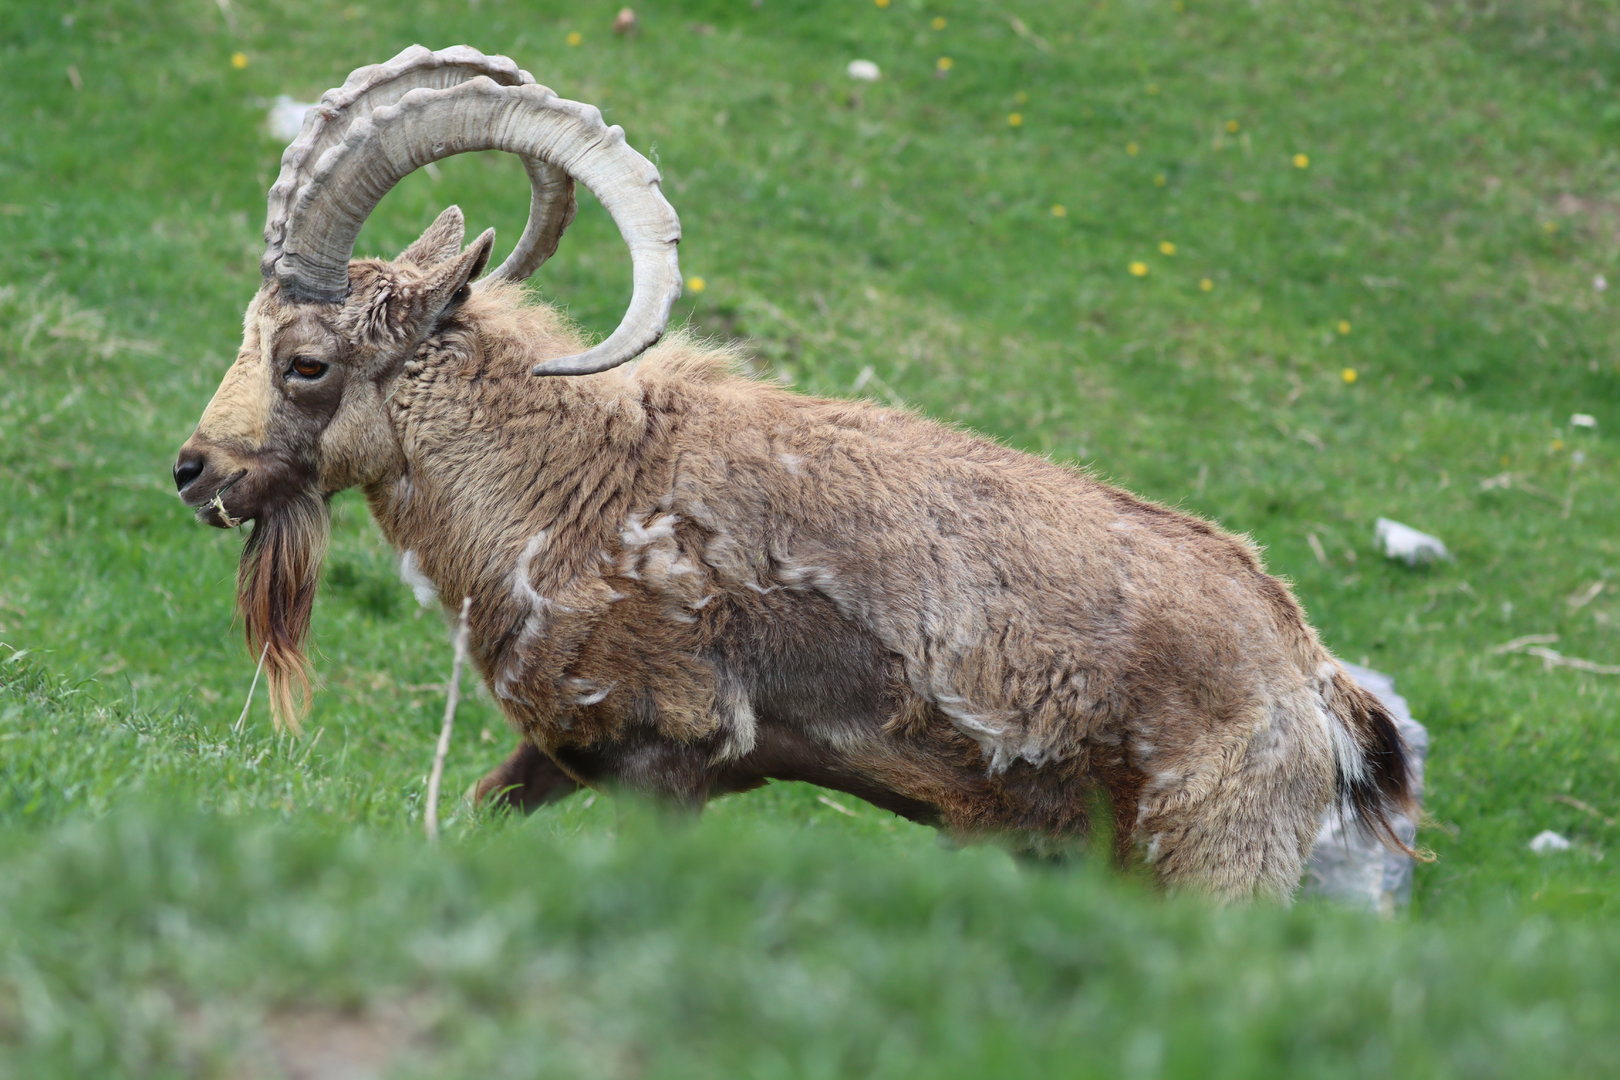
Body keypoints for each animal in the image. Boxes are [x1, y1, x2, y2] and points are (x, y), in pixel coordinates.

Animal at [173, 46, 1416, 901]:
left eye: (307, 361)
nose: (194, 472)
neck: (573, 483)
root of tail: (1316, 682)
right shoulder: (561, 755)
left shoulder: (667, 752)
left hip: (1210, 857)